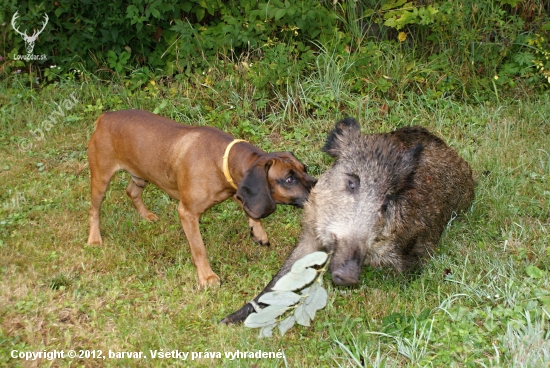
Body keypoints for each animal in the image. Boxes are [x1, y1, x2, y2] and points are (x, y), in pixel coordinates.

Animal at [87, 109, 320, 288]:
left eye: (304, 168)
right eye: (289, 179)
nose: (319, 185)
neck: (222, 159)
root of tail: (105, 116)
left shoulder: (236, 189)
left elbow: (249, 209)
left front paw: (258, 231)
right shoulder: (187, 213)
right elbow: (199, 249)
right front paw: (207, 277)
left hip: (140, 174)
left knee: (132, 192)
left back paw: (145, 215)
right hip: (100, 179)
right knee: (94, 210)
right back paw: (94, 238)